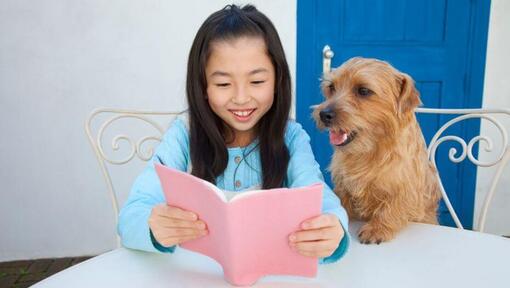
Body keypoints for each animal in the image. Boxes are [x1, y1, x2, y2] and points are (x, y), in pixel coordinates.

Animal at [312, 57, 440, 244]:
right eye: (332, 87)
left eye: (364, 90)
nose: (324, 114)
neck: (369, 151)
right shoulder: (343, 184)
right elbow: (341, 199)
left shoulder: (407, 189)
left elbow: (393, 205)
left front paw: (377, 228)